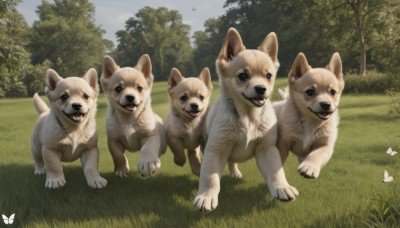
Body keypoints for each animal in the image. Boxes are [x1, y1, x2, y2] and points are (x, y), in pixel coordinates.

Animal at [192, 28, 298, 212]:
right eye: (242, 76)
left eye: (268, 75)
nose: (261, 89)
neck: (248, 117)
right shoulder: (216, 150)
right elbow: (210, 177)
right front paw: (206, 196)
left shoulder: (267, 149)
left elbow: (276, 171)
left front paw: (282, 187)